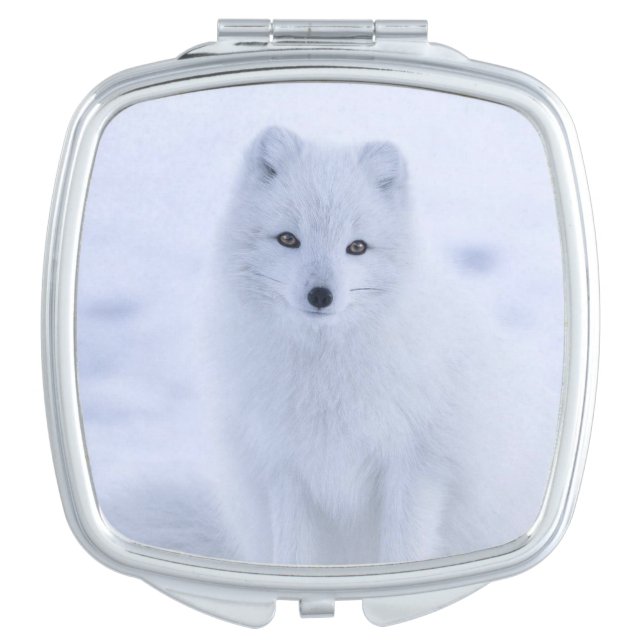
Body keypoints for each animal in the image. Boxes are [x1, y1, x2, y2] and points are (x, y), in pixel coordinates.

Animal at [205, 126, 556, 565]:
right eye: (288, 239)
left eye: (357, 247)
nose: (321, 295)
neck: (327, 376)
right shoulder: (286, 468)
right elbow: (293, 556)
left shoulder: (416, 467)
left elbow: (404, 552)